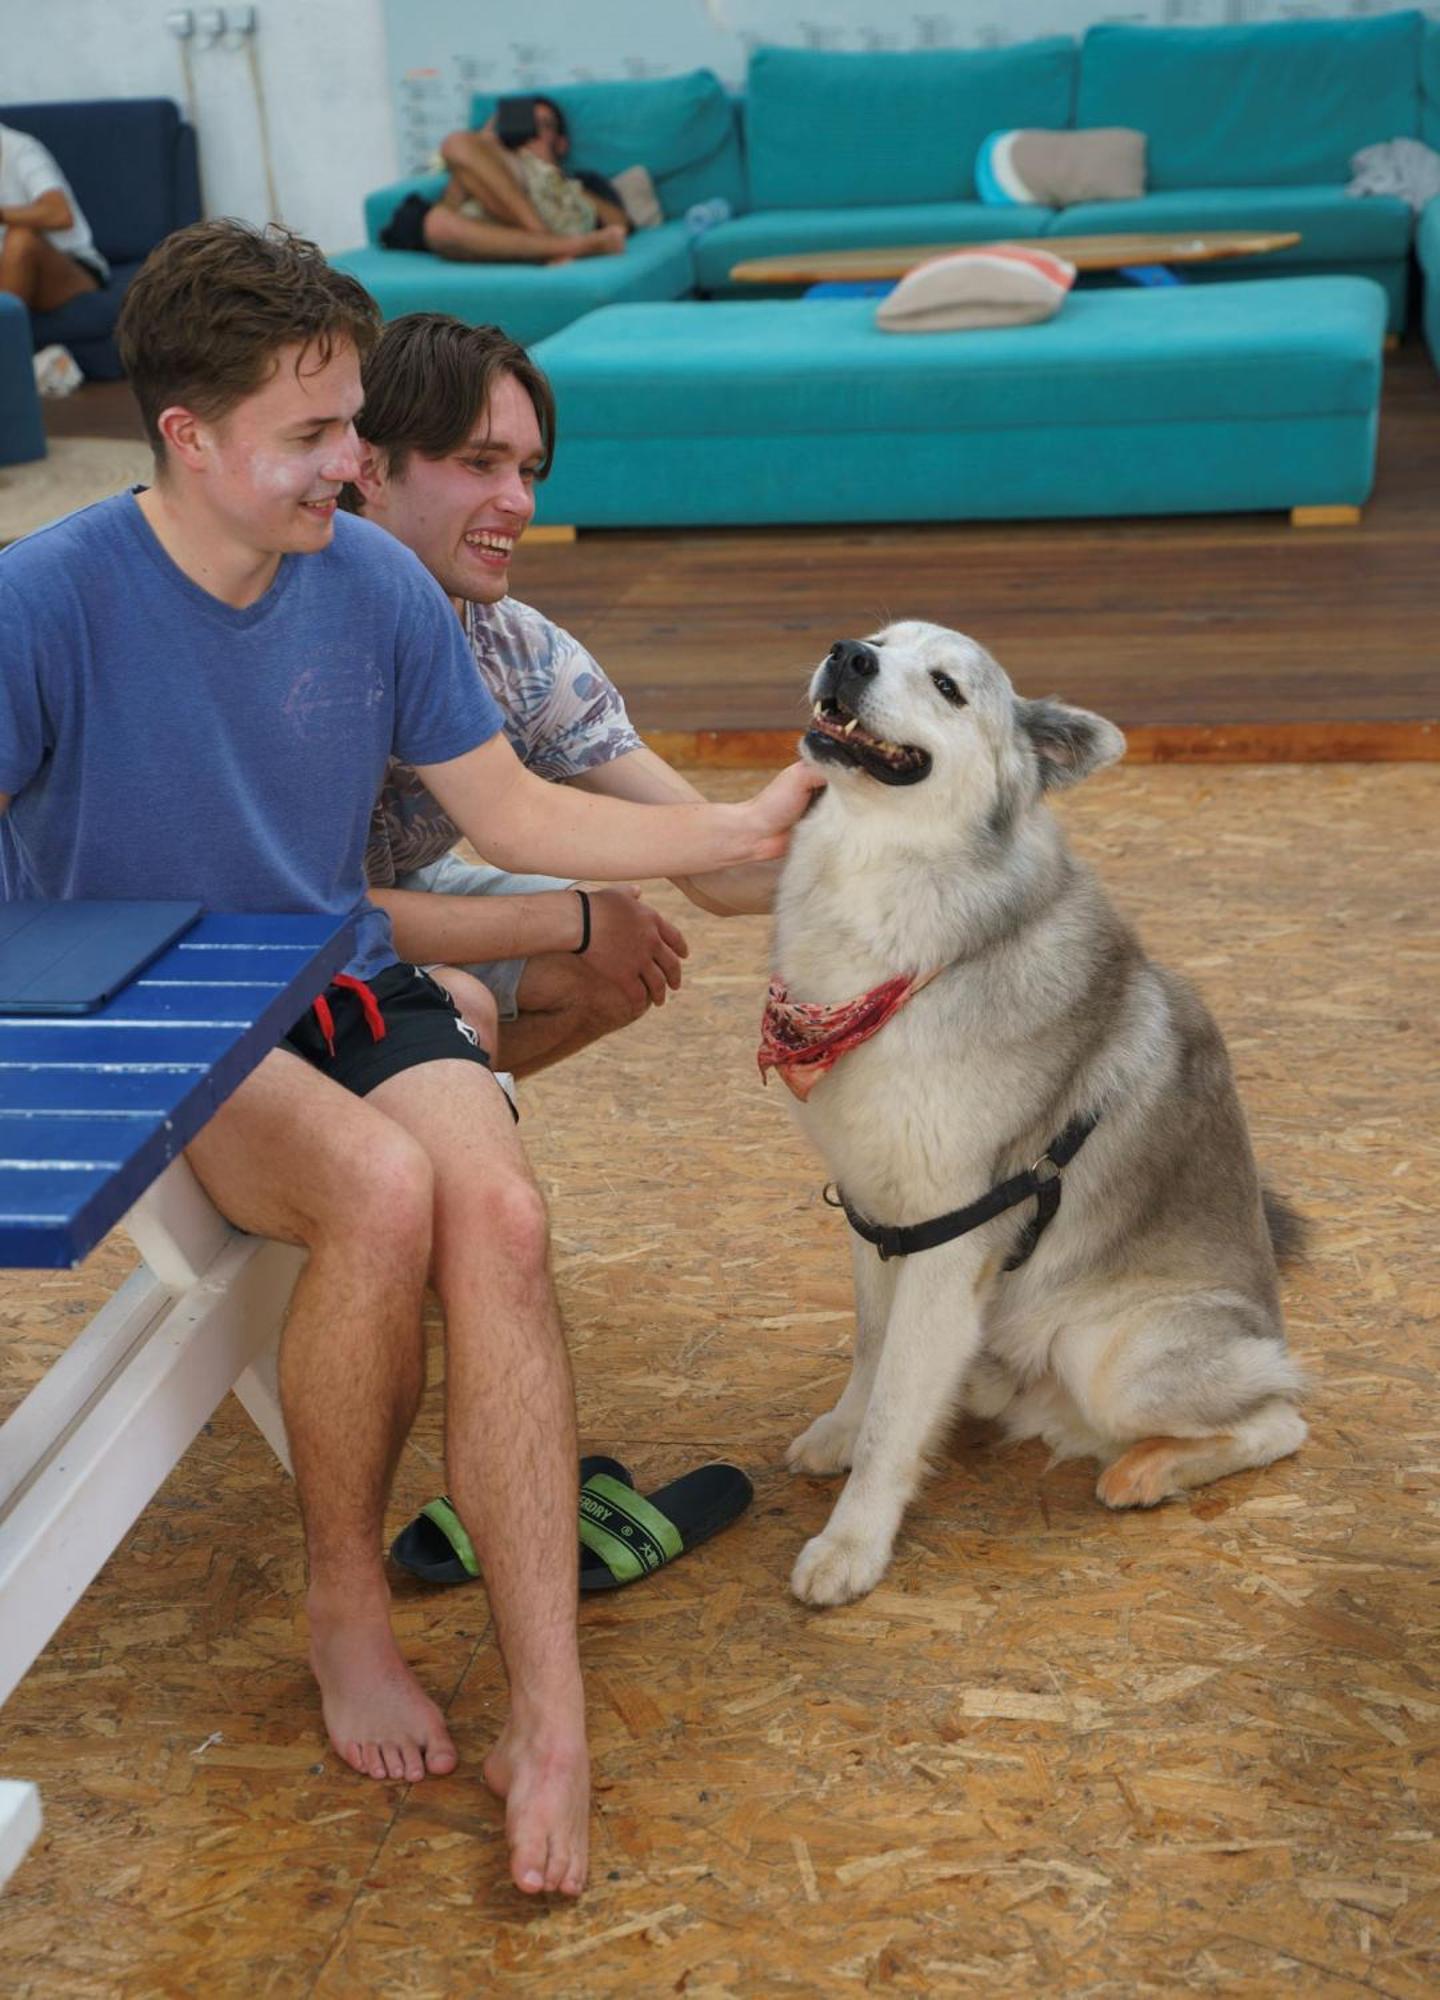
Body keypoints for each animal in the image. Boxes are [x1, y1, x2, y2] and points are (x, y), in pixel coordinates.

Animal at [772, 624, 1312, 1608]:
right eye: (880, 639)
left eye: (948, 686)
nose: (849, 654)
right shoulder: (876, 1217)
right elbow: (871, 1350)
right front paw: (840, 1429)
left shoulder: (947, 1239)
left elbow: (896, 1409)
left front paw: (852, 1544)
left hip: (1110, 1355)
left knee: (1282, 1415)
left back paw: (1147, 1470)